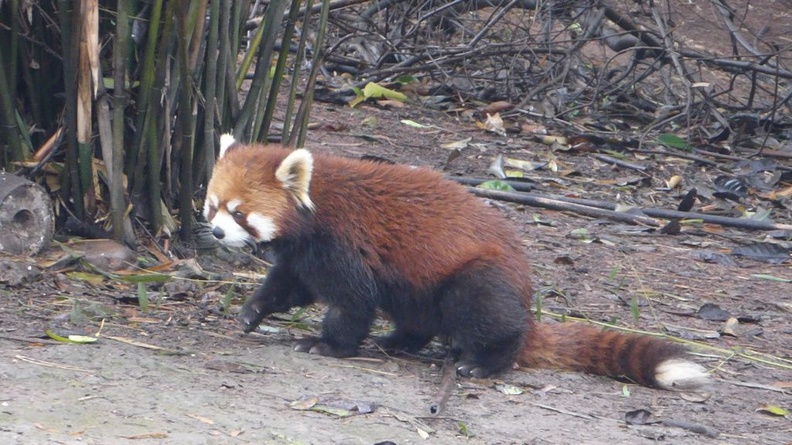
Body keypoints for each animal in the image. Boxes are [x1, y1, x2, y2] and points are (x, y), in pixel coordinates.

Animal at [203, 135, 704, 388]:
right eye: (212, 206)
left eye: (240, 213)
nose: (216, 233)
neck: (316, 203)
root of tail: (525, 297)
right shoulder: (303, 252)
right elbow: (288, 284)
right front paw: (252, 311)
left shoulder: (341, 242)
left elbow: (352, 301)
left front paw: (327, 344)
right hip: (416, 288)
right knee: (416, 315)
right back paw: (397, 341)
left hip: (480, 278)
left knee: (482, 310)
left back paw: (485, 362)